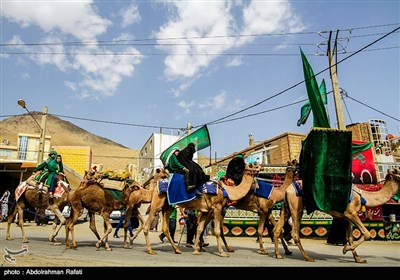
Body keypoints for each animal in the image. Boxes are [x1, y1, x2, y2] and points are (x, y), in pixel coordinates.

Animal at [272, 167, 400, 264]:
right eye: (398, 170)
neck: (363, 196)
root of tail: (287, 190)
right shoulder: (351, 212)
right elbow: (367, 233)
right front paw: (345, 249)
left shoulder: (347, 217)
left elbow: (350, 237)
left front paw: (358, 259)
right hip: (296, 206)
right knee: (294, 233)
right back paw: (308, 257)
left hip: (286, 208)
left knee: (277, 229)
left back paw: (278, 255)